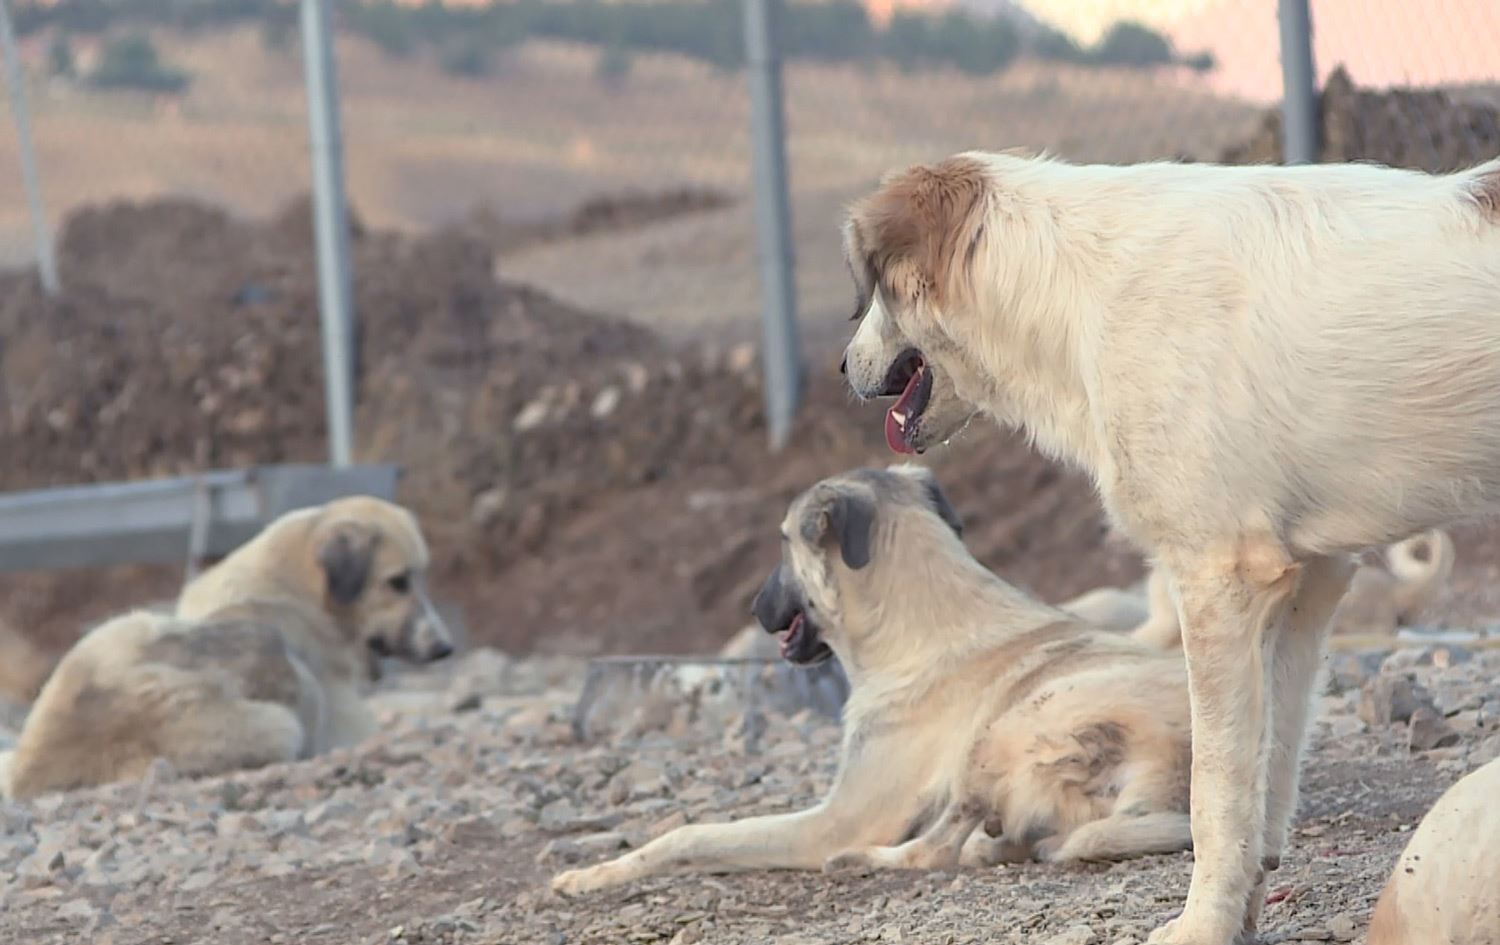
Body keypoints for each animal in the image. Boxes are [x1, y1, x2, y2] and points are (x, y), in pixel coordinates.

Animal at [0, 496, 452, 800]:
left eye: (423, 575)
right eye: (398, 581)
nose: (445, 647)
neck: (289, 591)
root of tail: (34, 765)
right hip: (277, 724)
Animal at [551, 465, 1343, 897]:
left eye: (781, 543)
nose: (751, 608)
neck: (920, 621)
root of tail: (1166, 770)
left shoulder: (836, 816)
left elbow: (690, 833)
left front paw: (596, 874)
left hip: (1003, 730)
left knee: (933, 849)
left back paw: (875, 859)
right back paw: (994, 845)